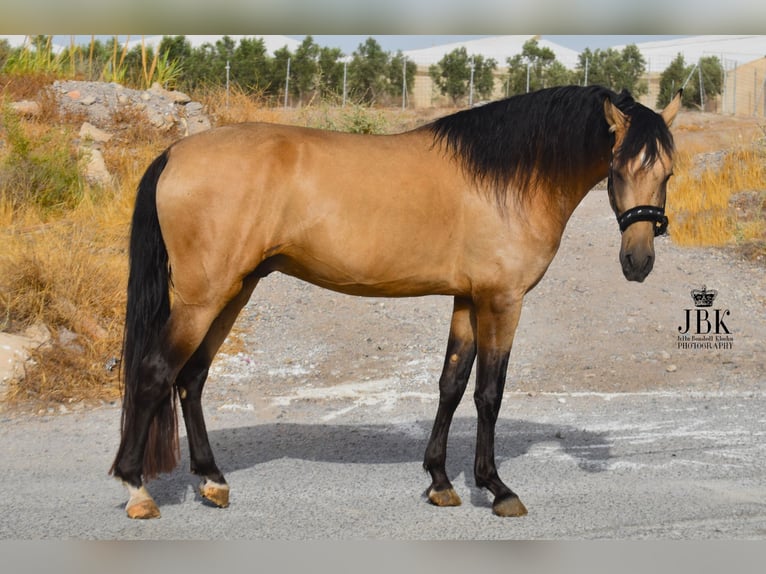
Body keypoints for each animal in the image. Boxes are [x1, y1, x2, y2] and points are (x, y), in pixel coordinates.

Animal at [109, 85, 684, 520]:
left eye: (668, 173)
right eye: (617, 167)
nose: (638, 261)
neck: (505, 177)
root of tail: (174, 153)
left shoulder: (467, 298)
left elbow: (451, 385)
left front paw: (440, 482)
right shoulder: (502, 300)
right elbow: (489, 393)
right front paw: (496, 488)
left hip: (234, 290)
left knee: (192, 377)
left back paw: (212, 480)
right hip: (204, 297)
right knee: (156, 372)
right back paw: (137, 489)